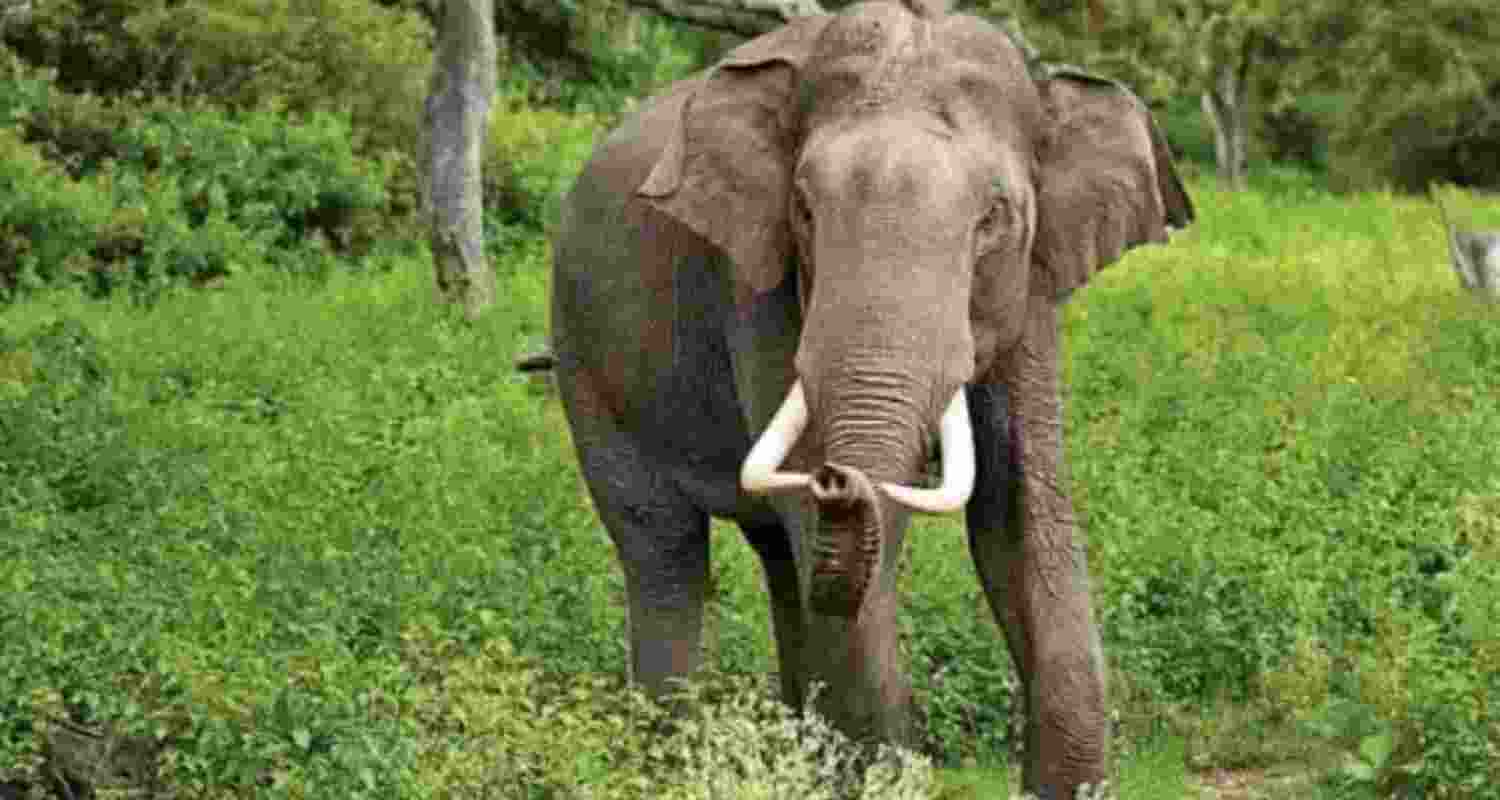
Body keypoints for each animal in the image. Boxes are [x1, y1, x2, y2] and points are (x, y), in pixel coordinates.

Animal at [546, 0, 1193, 794]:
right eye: (802, 209)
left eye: (994, 217)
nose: (835, 476)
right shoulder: (755, 283)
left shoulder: (1034, 290)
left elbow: (1020, 515)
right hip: (582, 357)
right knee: (663, 549)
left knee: (778, 561)